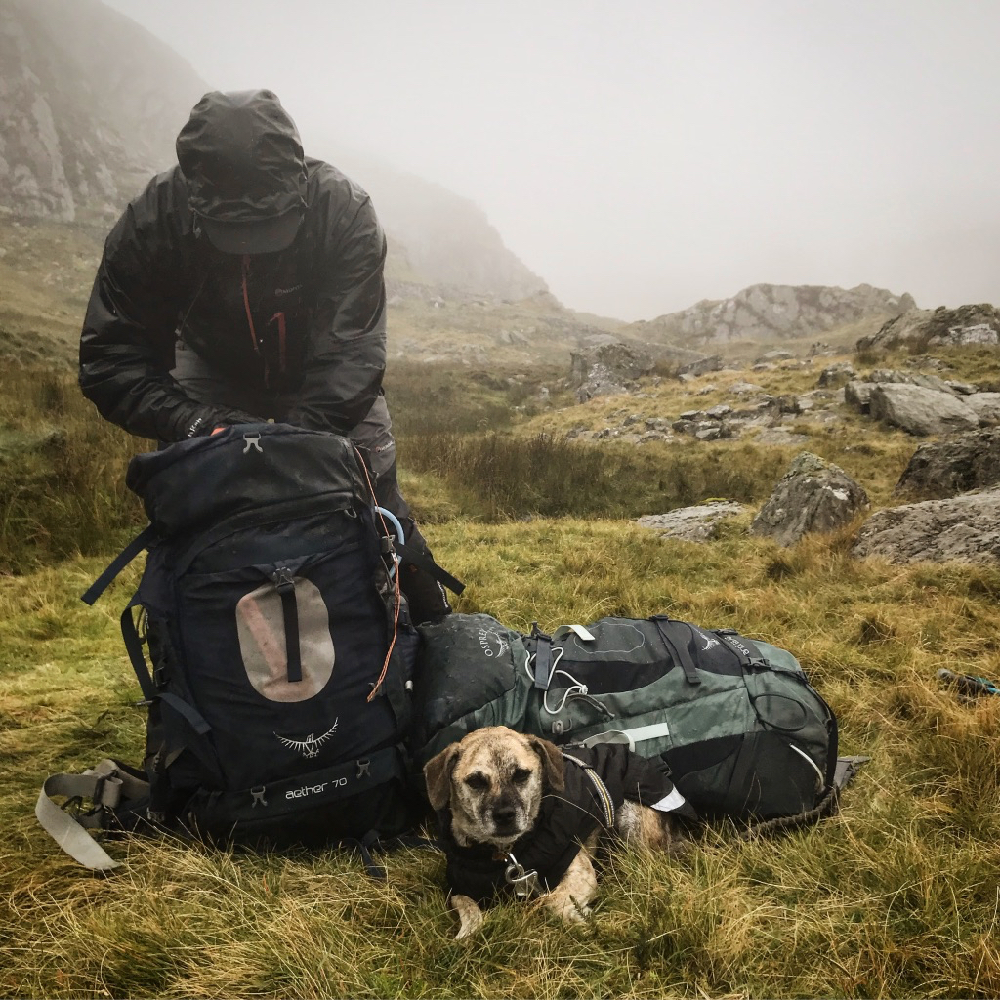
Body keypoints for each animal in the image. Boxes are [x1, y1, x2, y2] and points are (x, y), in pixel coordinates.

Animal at [424, 728, 696, 936]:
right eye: (475, 781)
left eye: (521, 775)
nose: (504, 815)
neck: (502, 853)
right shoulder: (459, 888)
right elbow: (467, 907)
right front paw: (467, 933)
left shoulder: (580, 872)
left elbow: (550, 901)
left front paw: (580, 916)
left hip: (630, 821)